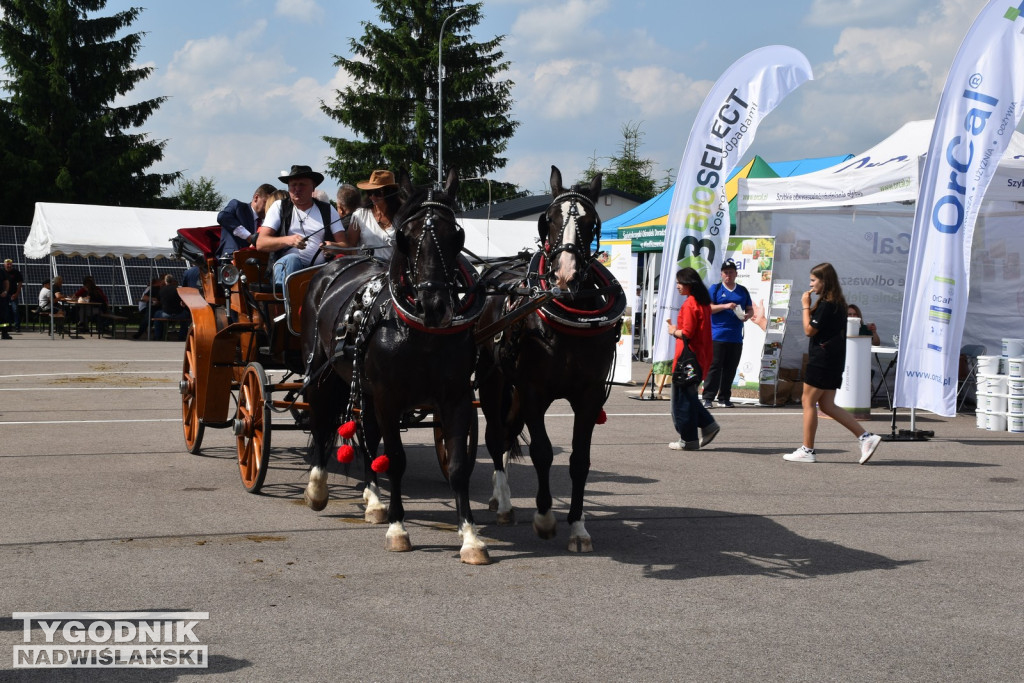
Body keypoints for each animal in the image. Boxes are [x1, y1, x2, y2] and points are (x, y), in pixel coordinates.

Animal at [299, 171, 489, 565]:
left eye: (457, 235)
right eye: (407, 236)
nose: (435, 305)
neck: (420, 332)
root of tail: (333, 267)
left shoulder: (457, 398)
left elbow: (457, 466)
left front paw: (471, 538)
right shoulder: (389, 397)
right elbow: (396, 459)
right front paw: (398, 530)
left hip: (364, 389)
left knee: (368, 435)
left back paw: (374, 501)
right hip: (321, 372)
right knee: (322, 423)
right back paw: (318, 488)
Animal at [475, 166, 626, 557]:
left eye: (590, 221)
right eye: (551, 218)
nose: (565, 275)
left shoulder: (588, 395)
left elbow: (579, 460)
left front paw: (578, 526)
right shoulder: (532, 391)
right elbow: (542, 452)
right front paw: (544, 518)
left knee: (507, 433)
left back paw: (498, 497)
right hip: (493, 380)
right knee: (495, 437)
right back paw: (506, 503)